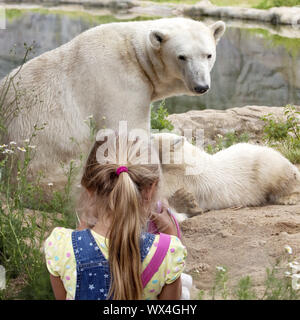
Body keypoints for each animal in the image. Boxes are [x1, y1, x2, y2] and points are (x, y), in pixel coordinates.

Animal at [0, 17, 225, 189]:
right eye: (182, 57)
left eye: (208, 55)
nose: (201, 86)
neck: (135, 55)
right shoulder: (119, 82)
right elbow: (129, 132)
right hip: (49, 165)